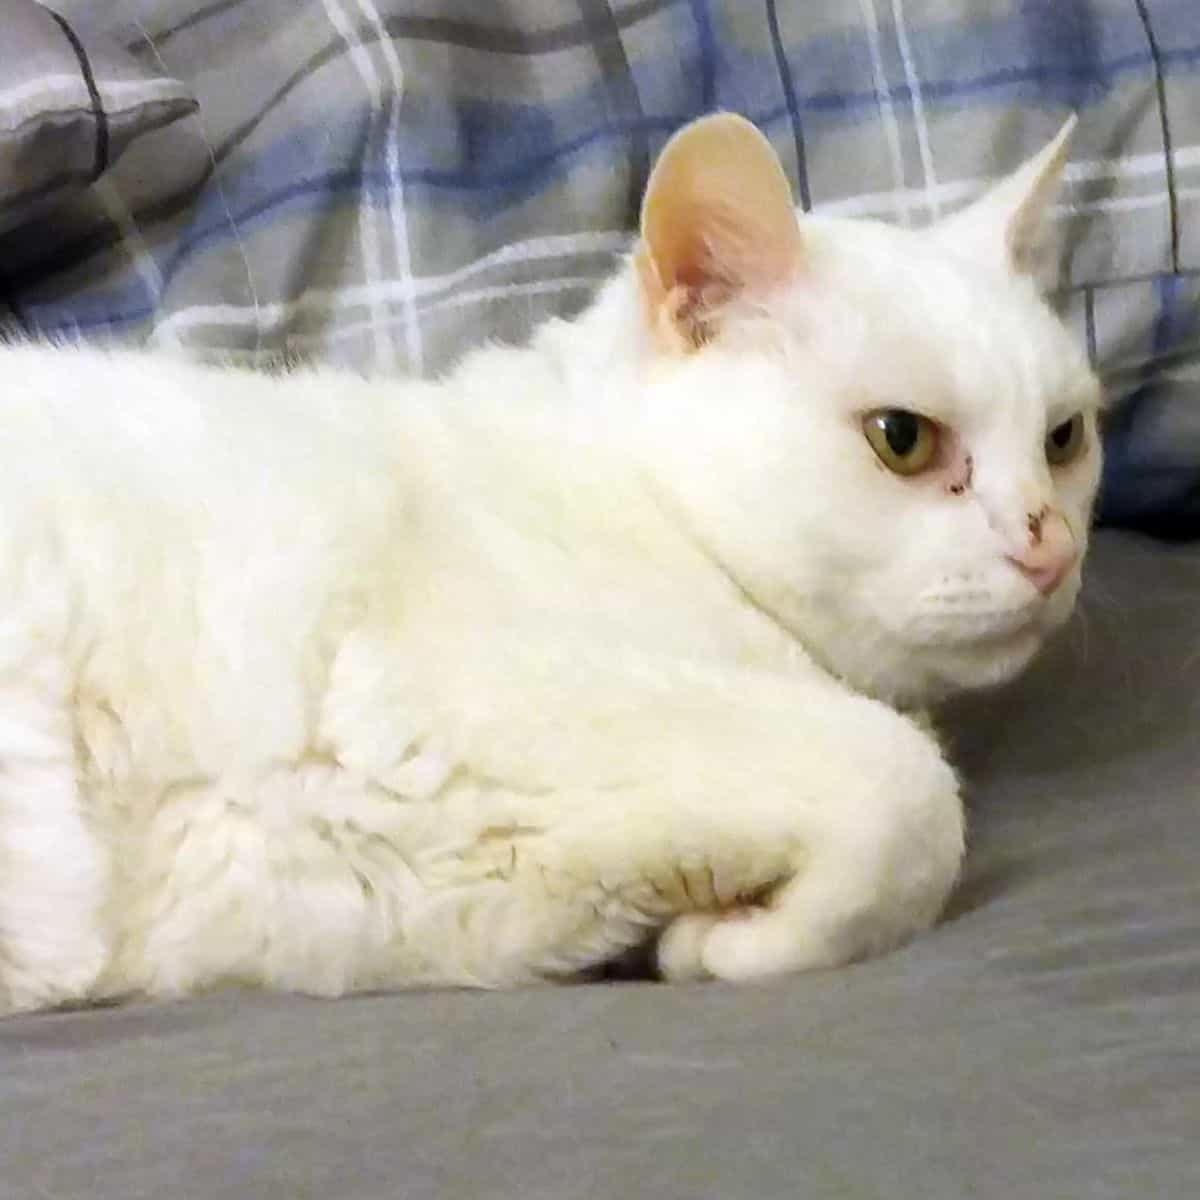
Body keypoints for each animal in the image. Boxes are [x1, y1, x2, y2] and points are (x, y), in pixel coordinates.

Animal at [0, 112, 1099, 1012]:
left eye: (1064, 439)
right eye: (902, 439)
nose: (1050, 544)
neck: (647, 510)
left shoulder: (390, 903)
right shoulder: (431, 705)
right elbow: (911, 790)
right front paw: (733, 942)